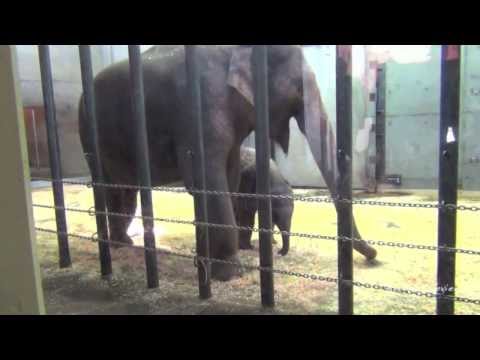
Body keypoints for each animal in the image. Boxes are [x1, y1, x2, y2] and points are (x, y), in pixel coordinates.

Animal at [79, 44, 376, 282]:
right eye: (297, 91)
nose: (373, 255)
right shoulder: (201, 107)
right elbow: (207, 178)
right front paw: (229, 274)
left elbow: (228, 179)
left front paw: (205, 263)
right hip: (89, 134)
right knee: (107, 187)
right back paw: (117, 246)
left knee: (124, 192)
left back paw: (125, 244)